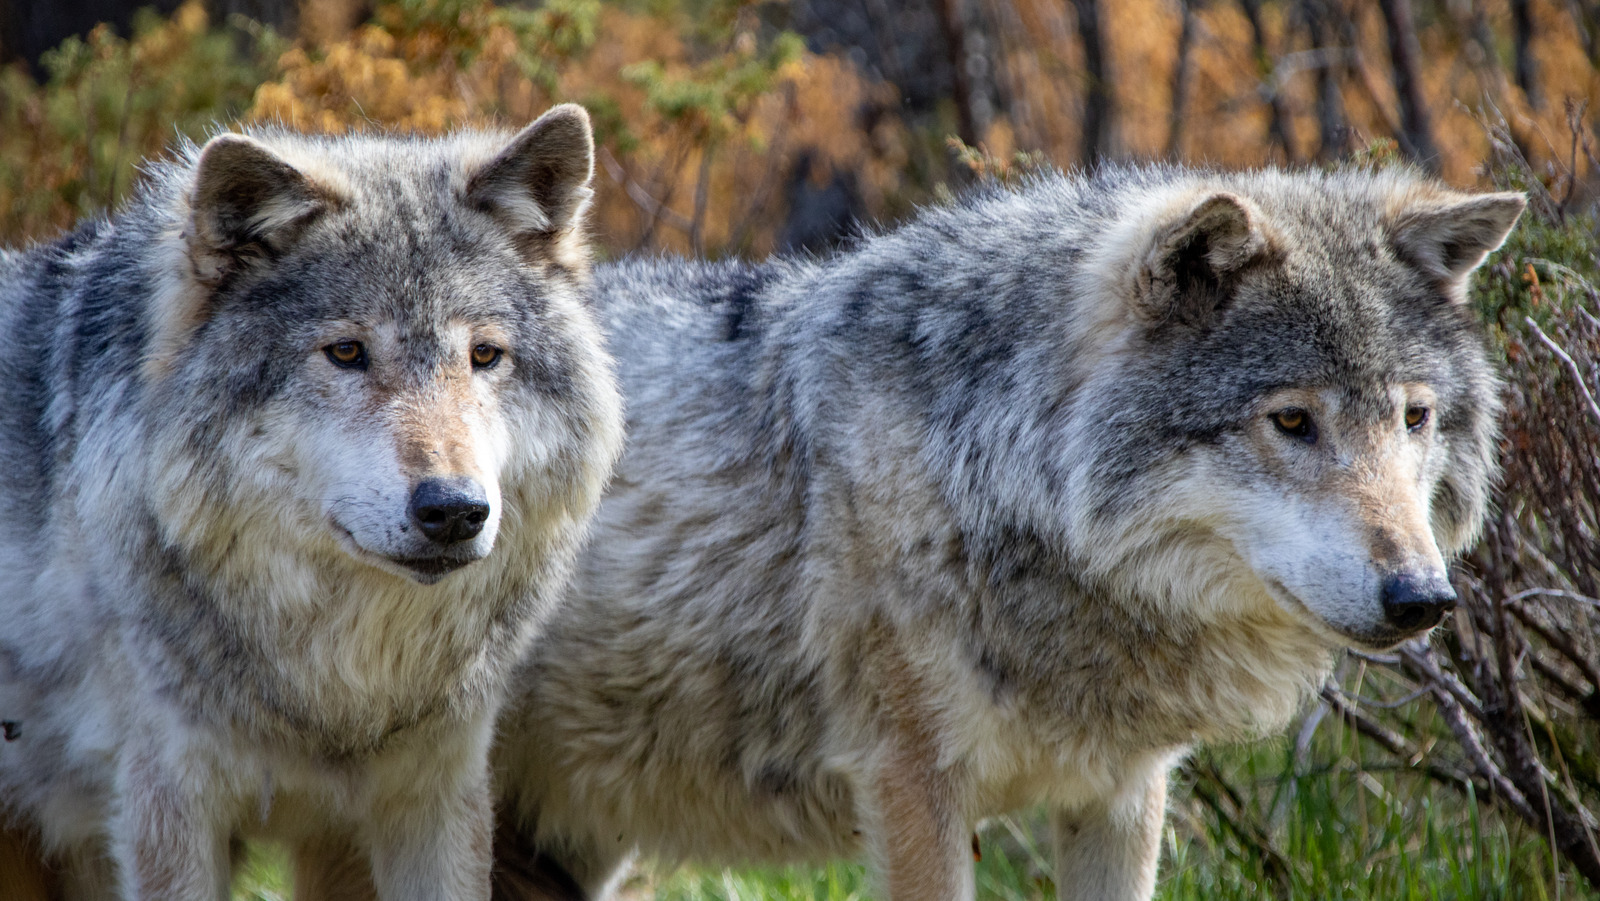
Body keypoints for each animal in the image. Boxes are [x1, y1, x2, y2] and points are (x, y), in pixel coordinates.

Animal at [0, 104, 623, 900]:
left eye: (484, 356)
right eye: (347, 353)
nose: (454, 510)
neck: (336, 695)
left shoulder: (439, 794)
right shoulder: (168, 804)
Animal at [303, 164, 1522, 901]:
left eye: (1414, 418)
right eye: (1292, 421)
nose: (1423, 599)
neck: (996, 463)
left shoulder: (1121, 794)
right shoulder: (908, 784)